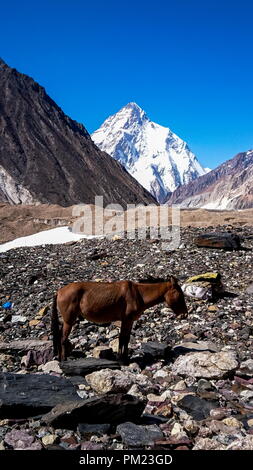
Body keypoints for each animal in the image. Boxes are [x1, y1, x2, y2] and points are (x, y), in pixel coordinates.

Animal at [51, 276, 187, 364]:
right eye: (180, 295)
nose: (184, 315)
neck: (139, 294)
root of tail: (59, 291)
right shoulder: (126, 320)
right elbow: (122, 339)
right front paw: (121, 359)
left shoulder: (130, 321)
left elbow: (126, 339)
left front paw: (125, 357)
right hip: (69, 321)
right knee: (63, 339)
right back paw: (63, 360)